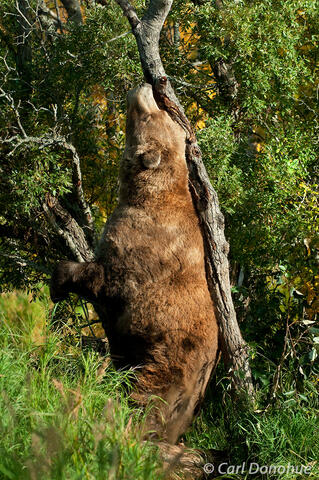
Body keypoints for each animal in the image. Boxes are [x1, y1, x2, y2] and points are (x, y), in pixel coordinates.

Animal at [50, 83, 220, 446]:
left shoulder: (141, 250)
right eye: (166, 113)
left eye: (151, 116)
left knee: (147, 400)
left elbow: (100, 276)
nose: (148, 86)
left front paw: (58, 284)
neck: (145, 193)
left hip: (170, 365)